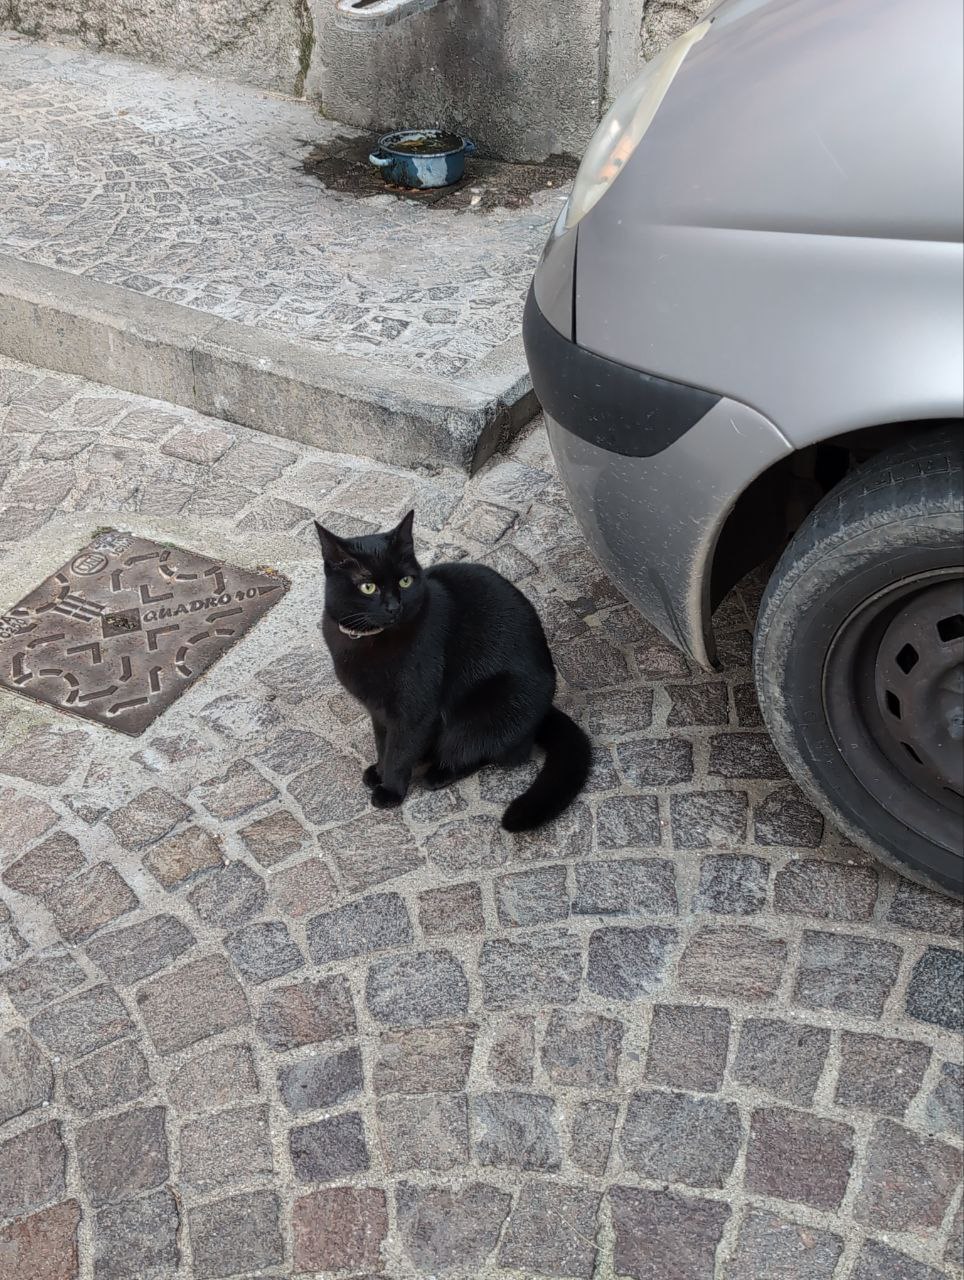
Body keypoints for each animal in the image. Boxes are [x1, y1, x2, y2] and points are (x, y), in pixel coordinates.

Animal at [316, 509, 591, 829]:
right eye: (367, 586)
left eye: (405, 581)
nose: (394, 606)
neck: (364, 641)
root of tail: (545, 708)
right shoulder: (378, 710)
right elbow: (383, 743)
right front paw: (380, 771)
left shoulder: (414, 709)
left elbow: (399, 750)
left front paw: (391, 790)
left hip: (486, 709)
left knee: (495, 751)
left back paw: (439, 772)